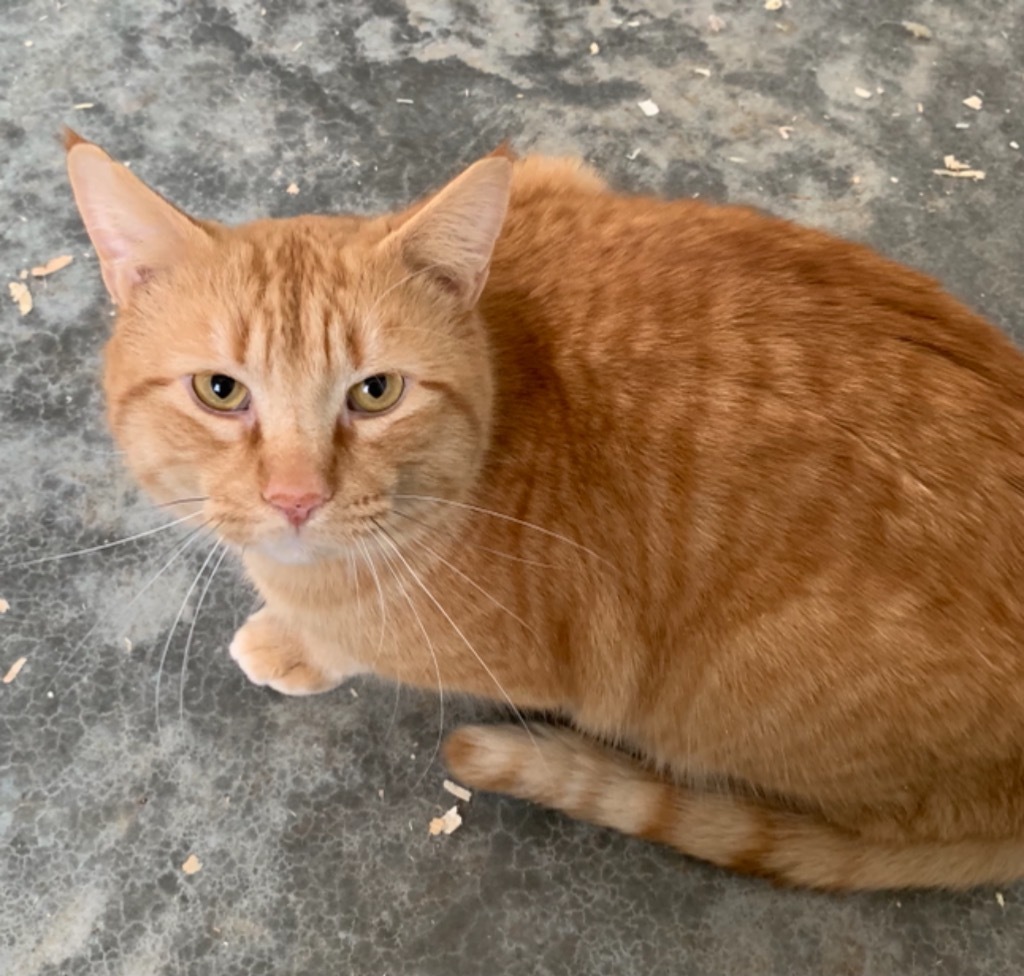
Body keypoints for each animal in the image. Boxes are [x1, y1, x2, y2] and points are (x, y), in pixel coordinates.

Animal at [66, 125, 1024, 888]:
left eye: (375, 392)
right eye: (220, 391)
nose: (296, 497)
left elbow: (352, 639)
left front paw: (295, 641)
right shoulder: (561, 174)